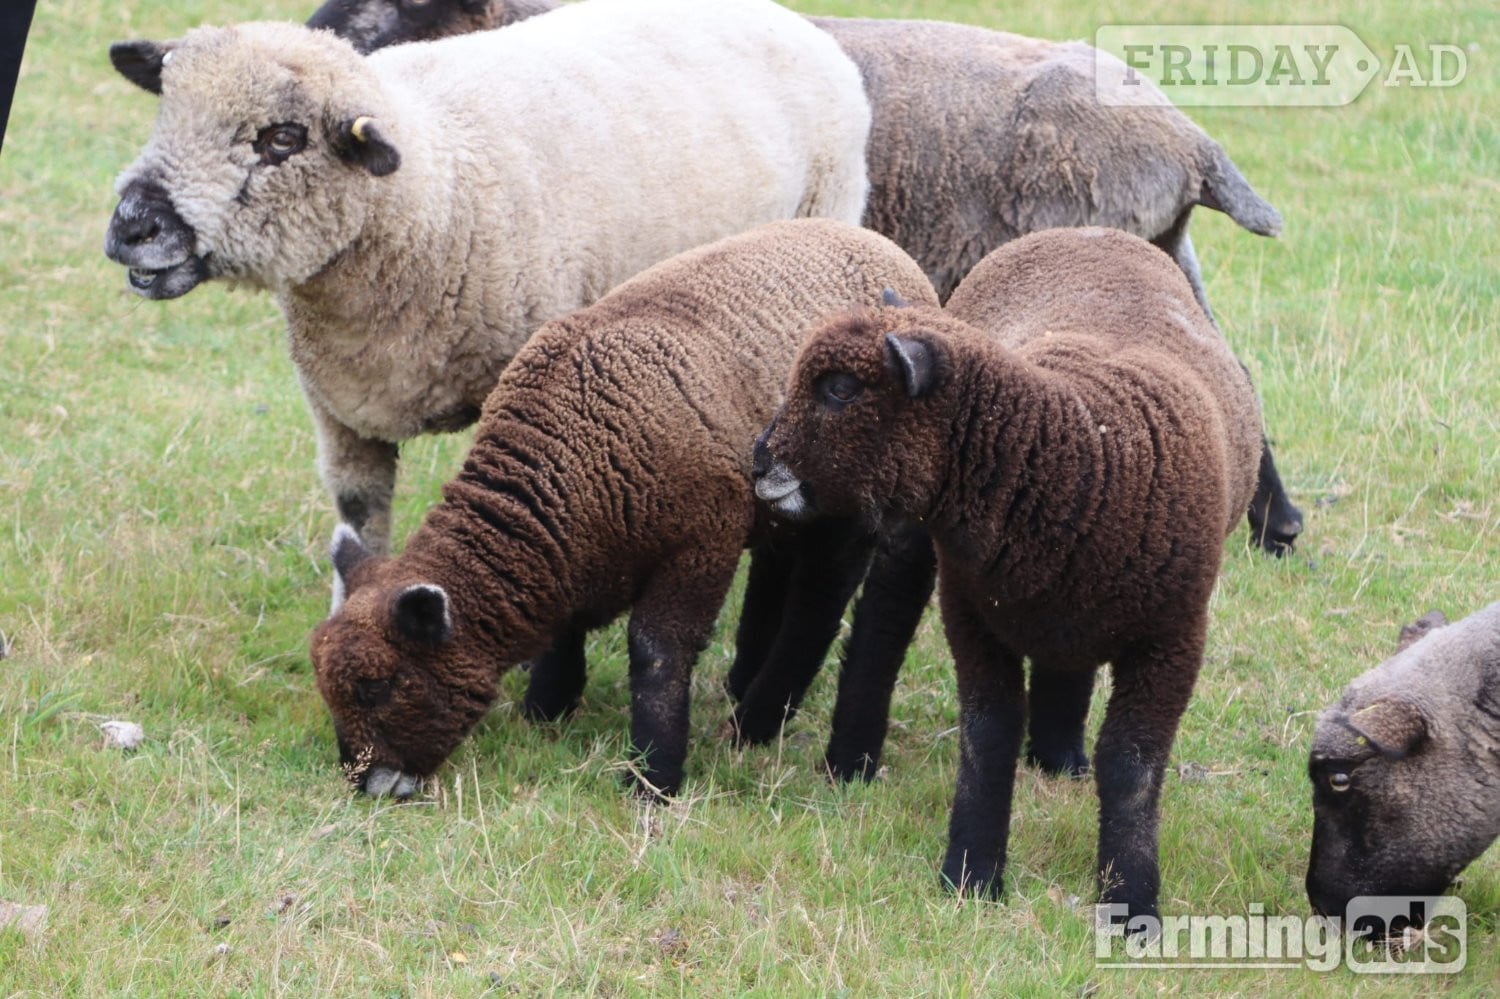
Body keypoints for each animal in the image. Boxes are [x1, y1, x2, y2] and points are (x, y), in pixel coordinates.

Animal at [102, 0, 872, 554]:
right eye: (167, 108)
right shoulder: (342, 414)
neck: (434, 180)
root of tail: (787, 17)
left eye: (281, 139)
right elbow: (360, 536)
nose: (132, 226)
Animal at [309, 218, 940, 799]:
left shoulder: (700, 543)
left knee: (819, 599)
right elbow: (563, 633)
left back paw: (758, 722)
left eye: (375, 687)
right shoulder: (573, 555)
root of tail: (880, 246)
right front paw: (547, 712)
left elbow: (657, 652)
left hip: (844, 504)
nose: (364, 785)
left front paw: (654, 776)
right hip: (783, 508)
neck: (566, 464)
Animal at [753, 226, 1264, 920]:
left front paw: (1130, 902)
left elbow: (1132, 767)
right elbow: (986, 737)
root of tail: (1082, 230)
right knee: (883, 625)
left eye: (839, 389)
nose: (758, 460)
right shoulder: (972, 618)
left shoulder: (1174, 637)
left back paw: (1060, 757)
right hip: (916, 538)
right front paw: (970, 875)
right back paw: (851, 760)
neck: (1082, 453)